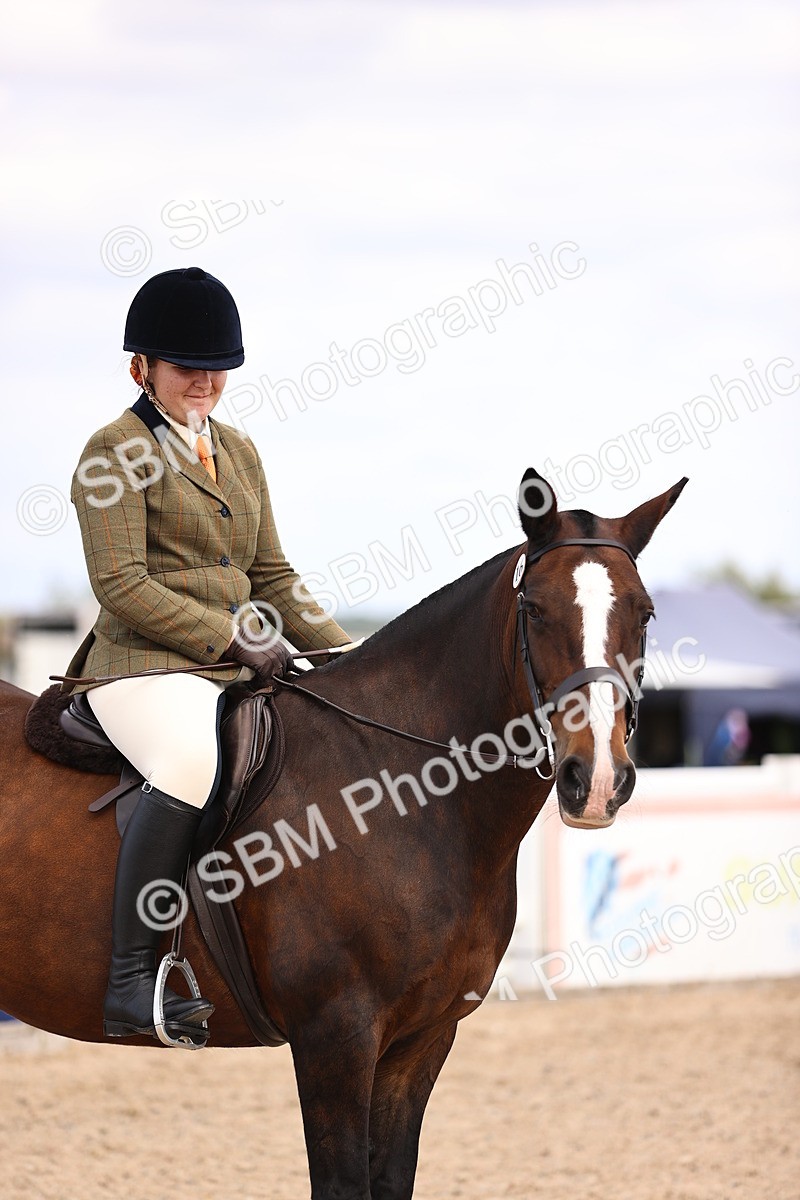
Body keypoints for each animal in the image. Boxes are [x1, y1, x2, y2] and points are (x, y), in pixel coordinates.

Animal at [0, 467, 687, 1199]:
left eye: (645, 613)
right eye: (535, 609)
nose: (599, 779)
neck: (399, 790)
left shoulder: (421, 1040)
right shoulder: (336, 1038)